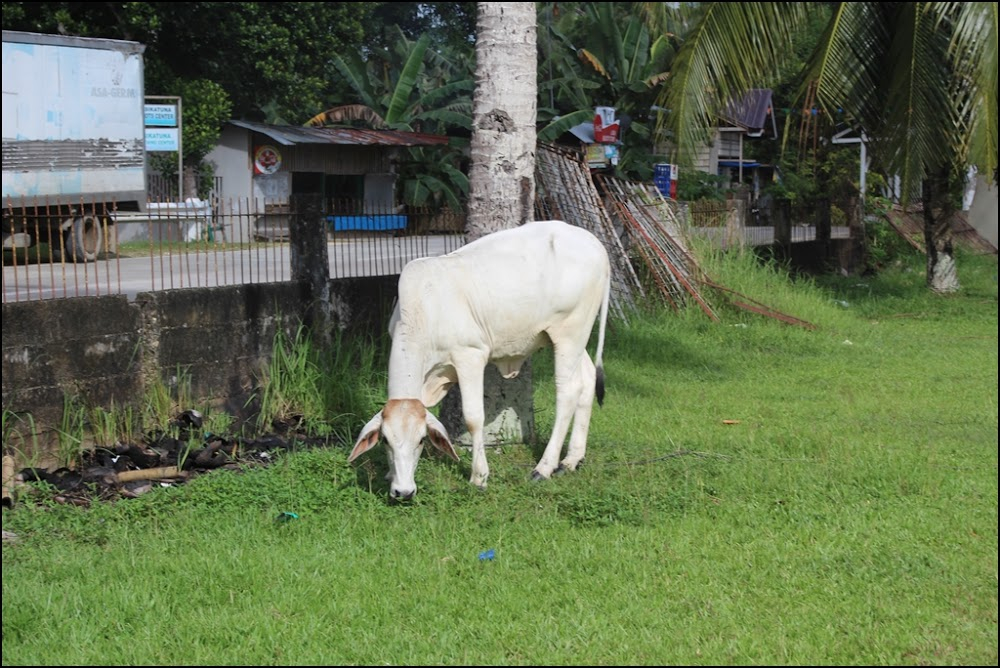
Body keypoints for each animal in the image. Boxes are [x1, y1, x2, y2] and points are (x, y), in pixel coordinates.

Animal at [348, 220, 612, 500]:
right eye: (386, 440)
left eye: (421, 440)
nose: (404, 491)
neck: (424, 310)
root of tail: (595, 244)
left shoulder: (470, 356)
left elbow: (474, 417)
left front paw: (479, 476)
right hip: (574, 336)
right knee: (587, 380)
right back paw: (572, 459)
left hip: (568, 332)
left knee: (568, 391)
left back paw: (545, 466)